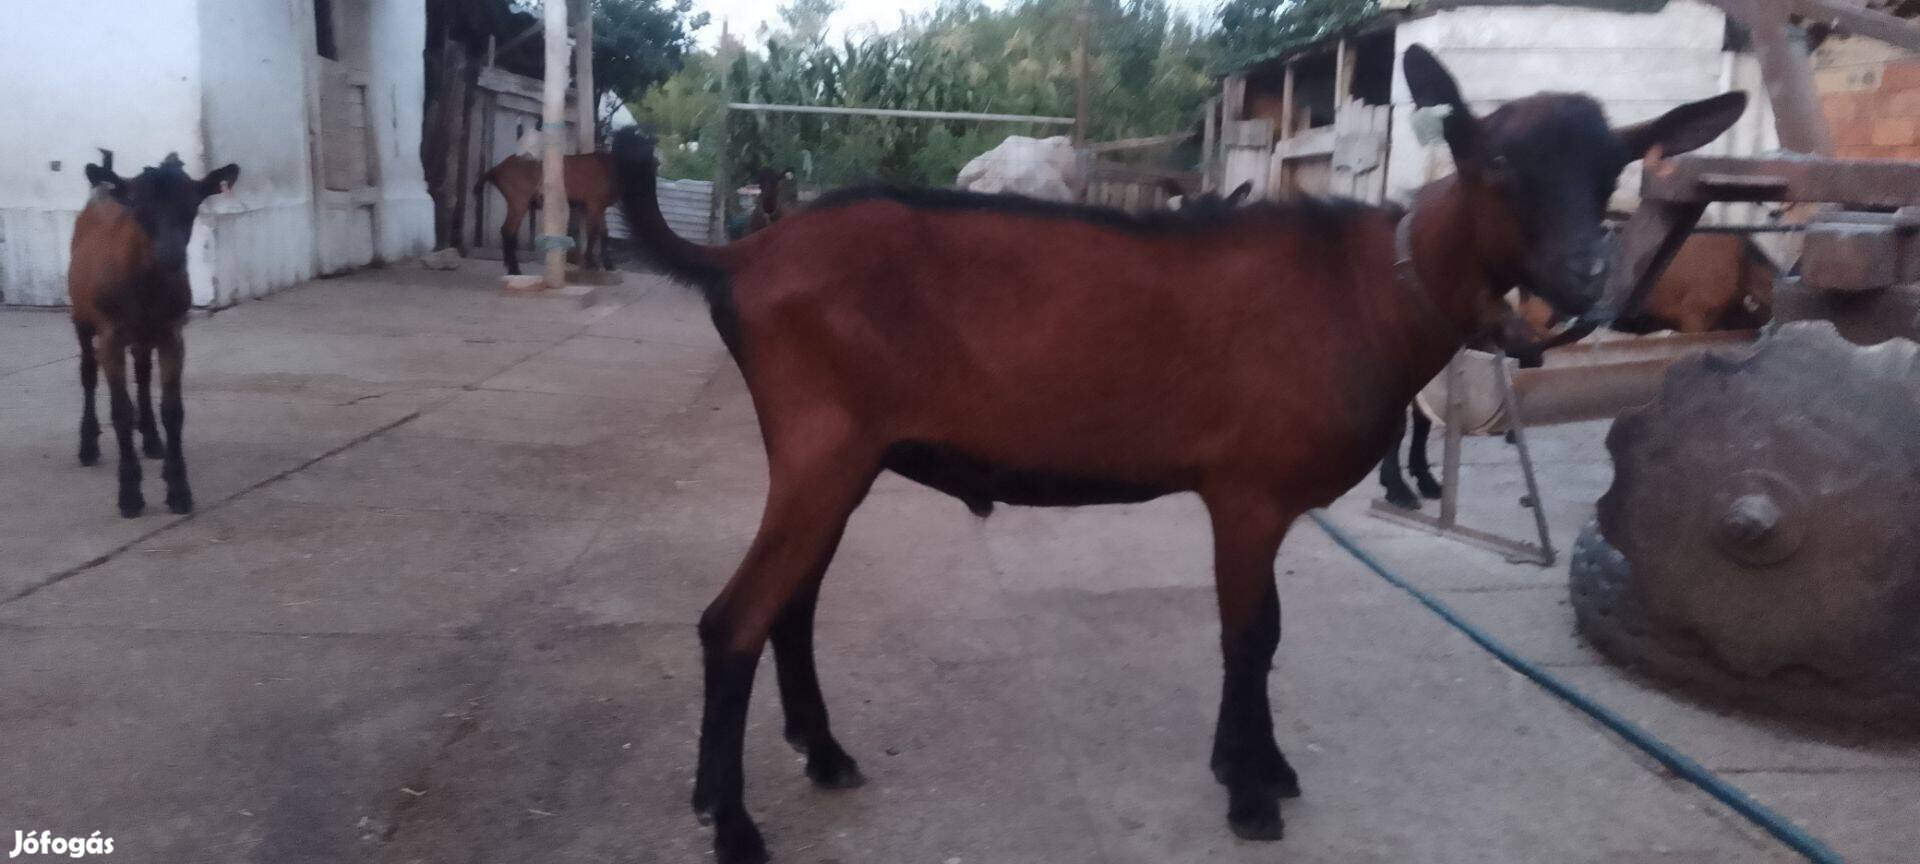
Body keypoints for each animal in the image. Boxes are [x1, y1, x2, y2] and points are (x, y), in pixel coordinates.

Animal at [70, 150, 238, 514]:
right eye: (139, 207)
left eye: (192, 205)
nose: (170, 255)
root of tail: (103, 189)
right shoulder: (110, 334)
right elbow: (119, 411)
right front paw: (130, 496)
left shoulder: (171, 333)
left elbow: (172, 410)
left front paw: (179, 490)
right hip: (81, 315)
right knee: (88, 370)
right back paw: (88, 446)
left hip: (144, 334)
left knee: (143, 372)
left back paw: (150, 438)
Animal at [474, 151, 618, 272]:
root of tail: (496, 169)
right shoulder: (594, 204)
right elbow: (593, 233)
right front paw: (591, 263)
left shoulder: (599, 206)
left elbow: (604, 233)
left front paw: (608, 264)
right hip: (519, 201)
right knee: (508, 231)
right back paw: (515, 270)